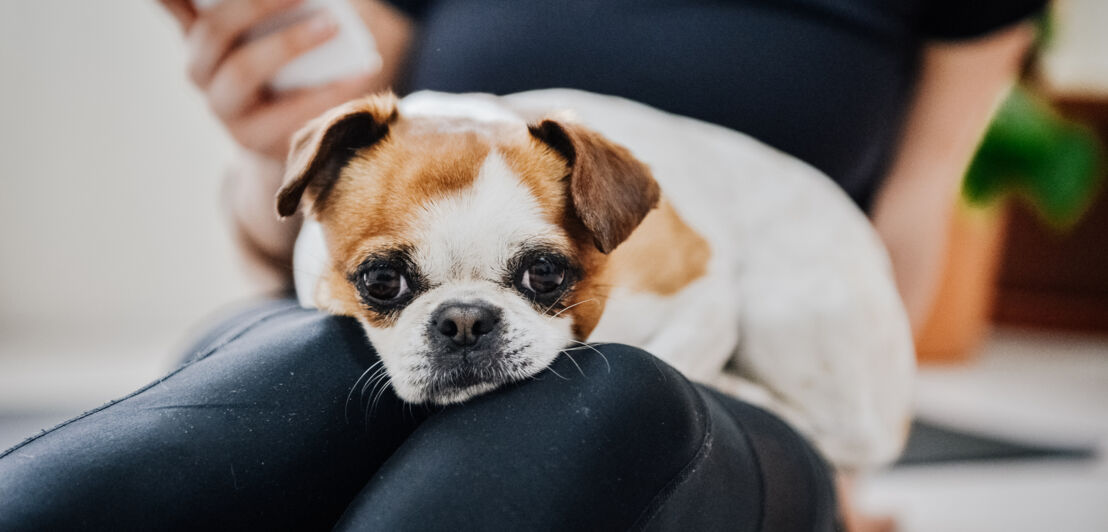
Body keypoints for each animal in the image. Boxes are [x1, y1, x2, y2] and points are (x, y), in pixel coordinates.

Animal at [279, 90, 917, 469]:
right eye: (381, 282)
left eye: (544, 274)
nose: (463, 320)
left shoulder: (705, 296)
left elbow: (666, 355)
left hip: (781, 312)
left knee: (851, 436)